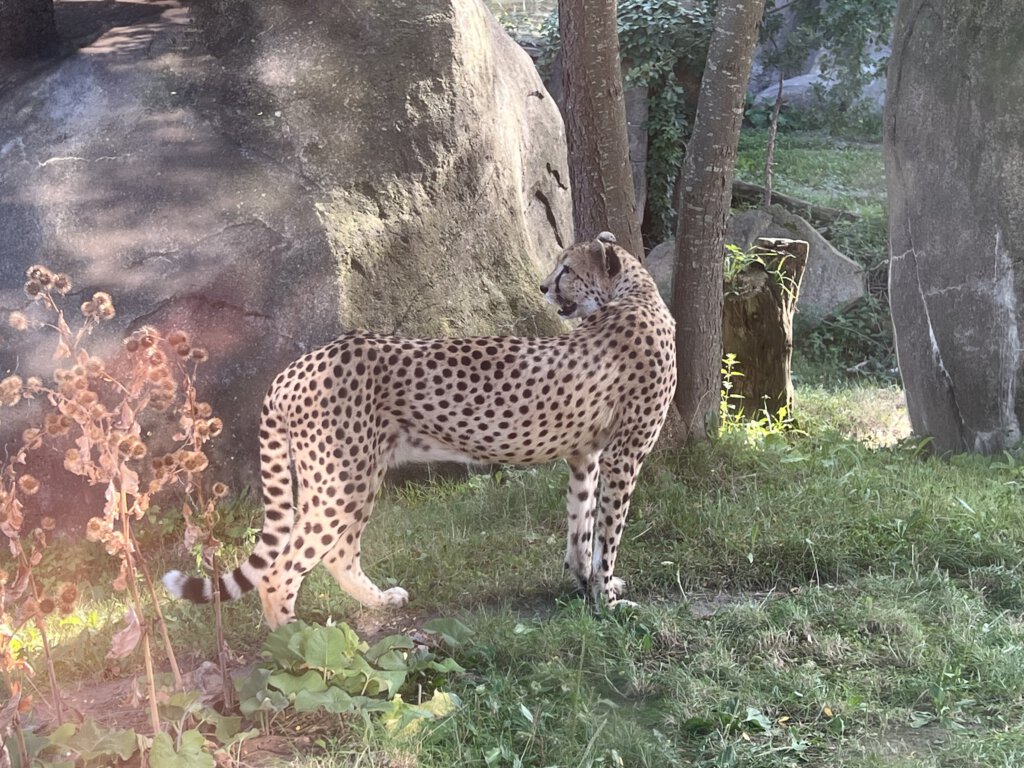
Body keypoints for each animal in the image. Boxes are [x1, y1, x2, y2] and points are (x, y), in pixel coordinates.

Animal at [163, 237, 675, 626]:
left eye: (567, 268)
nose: (545, 285)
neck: (636, 292)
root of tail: (301, 363)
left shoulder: (586, 456)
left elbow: (582, 527)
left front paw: (587, 583)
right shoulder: (624, 456)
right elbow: (609, 532)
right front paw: (608, 601)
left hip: (351, 476)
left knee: (337, 552)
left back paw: (379, 602)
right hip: (340, 481)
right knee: (281, 570)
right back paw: (293, 643)